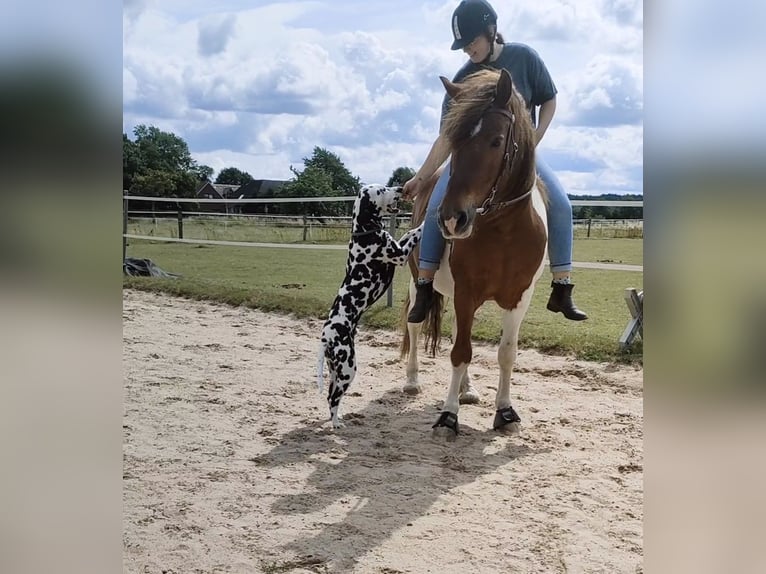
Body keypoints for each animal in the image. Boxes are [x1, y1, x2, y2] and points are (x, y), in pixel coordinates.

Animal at [402, 68, 552, 440]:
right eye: (452, 141)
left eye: (496, 141)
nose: (451, 218)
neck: (504, 231)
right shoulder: (466, 292)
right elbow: (460, 352)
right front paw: (448, 415)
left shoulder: (518, 297)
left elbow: (506, 354)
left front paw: (505, 411)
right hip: (418, 283)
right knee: (415, 325)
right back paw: (412, 381)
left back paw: (467, 389)